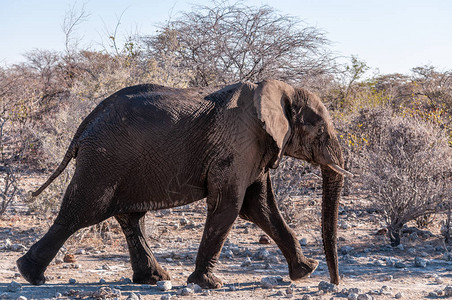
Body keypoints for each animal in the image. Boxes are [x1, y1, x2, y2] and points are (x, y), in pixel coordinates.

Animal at [17, 79, 354, 288]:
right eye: (321, 132)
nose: (335, 282)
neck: (278, 89)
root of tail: (84, 125)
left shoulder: (256, 148)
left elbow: (259, 207)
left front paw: (305, 272)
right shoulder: (239, 144)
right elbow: (230, 205)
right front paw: (209, 284)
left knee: (129, 216)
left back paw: (153, 278)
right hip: (104, 160)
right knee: (81, 212)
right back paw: (30, 275)